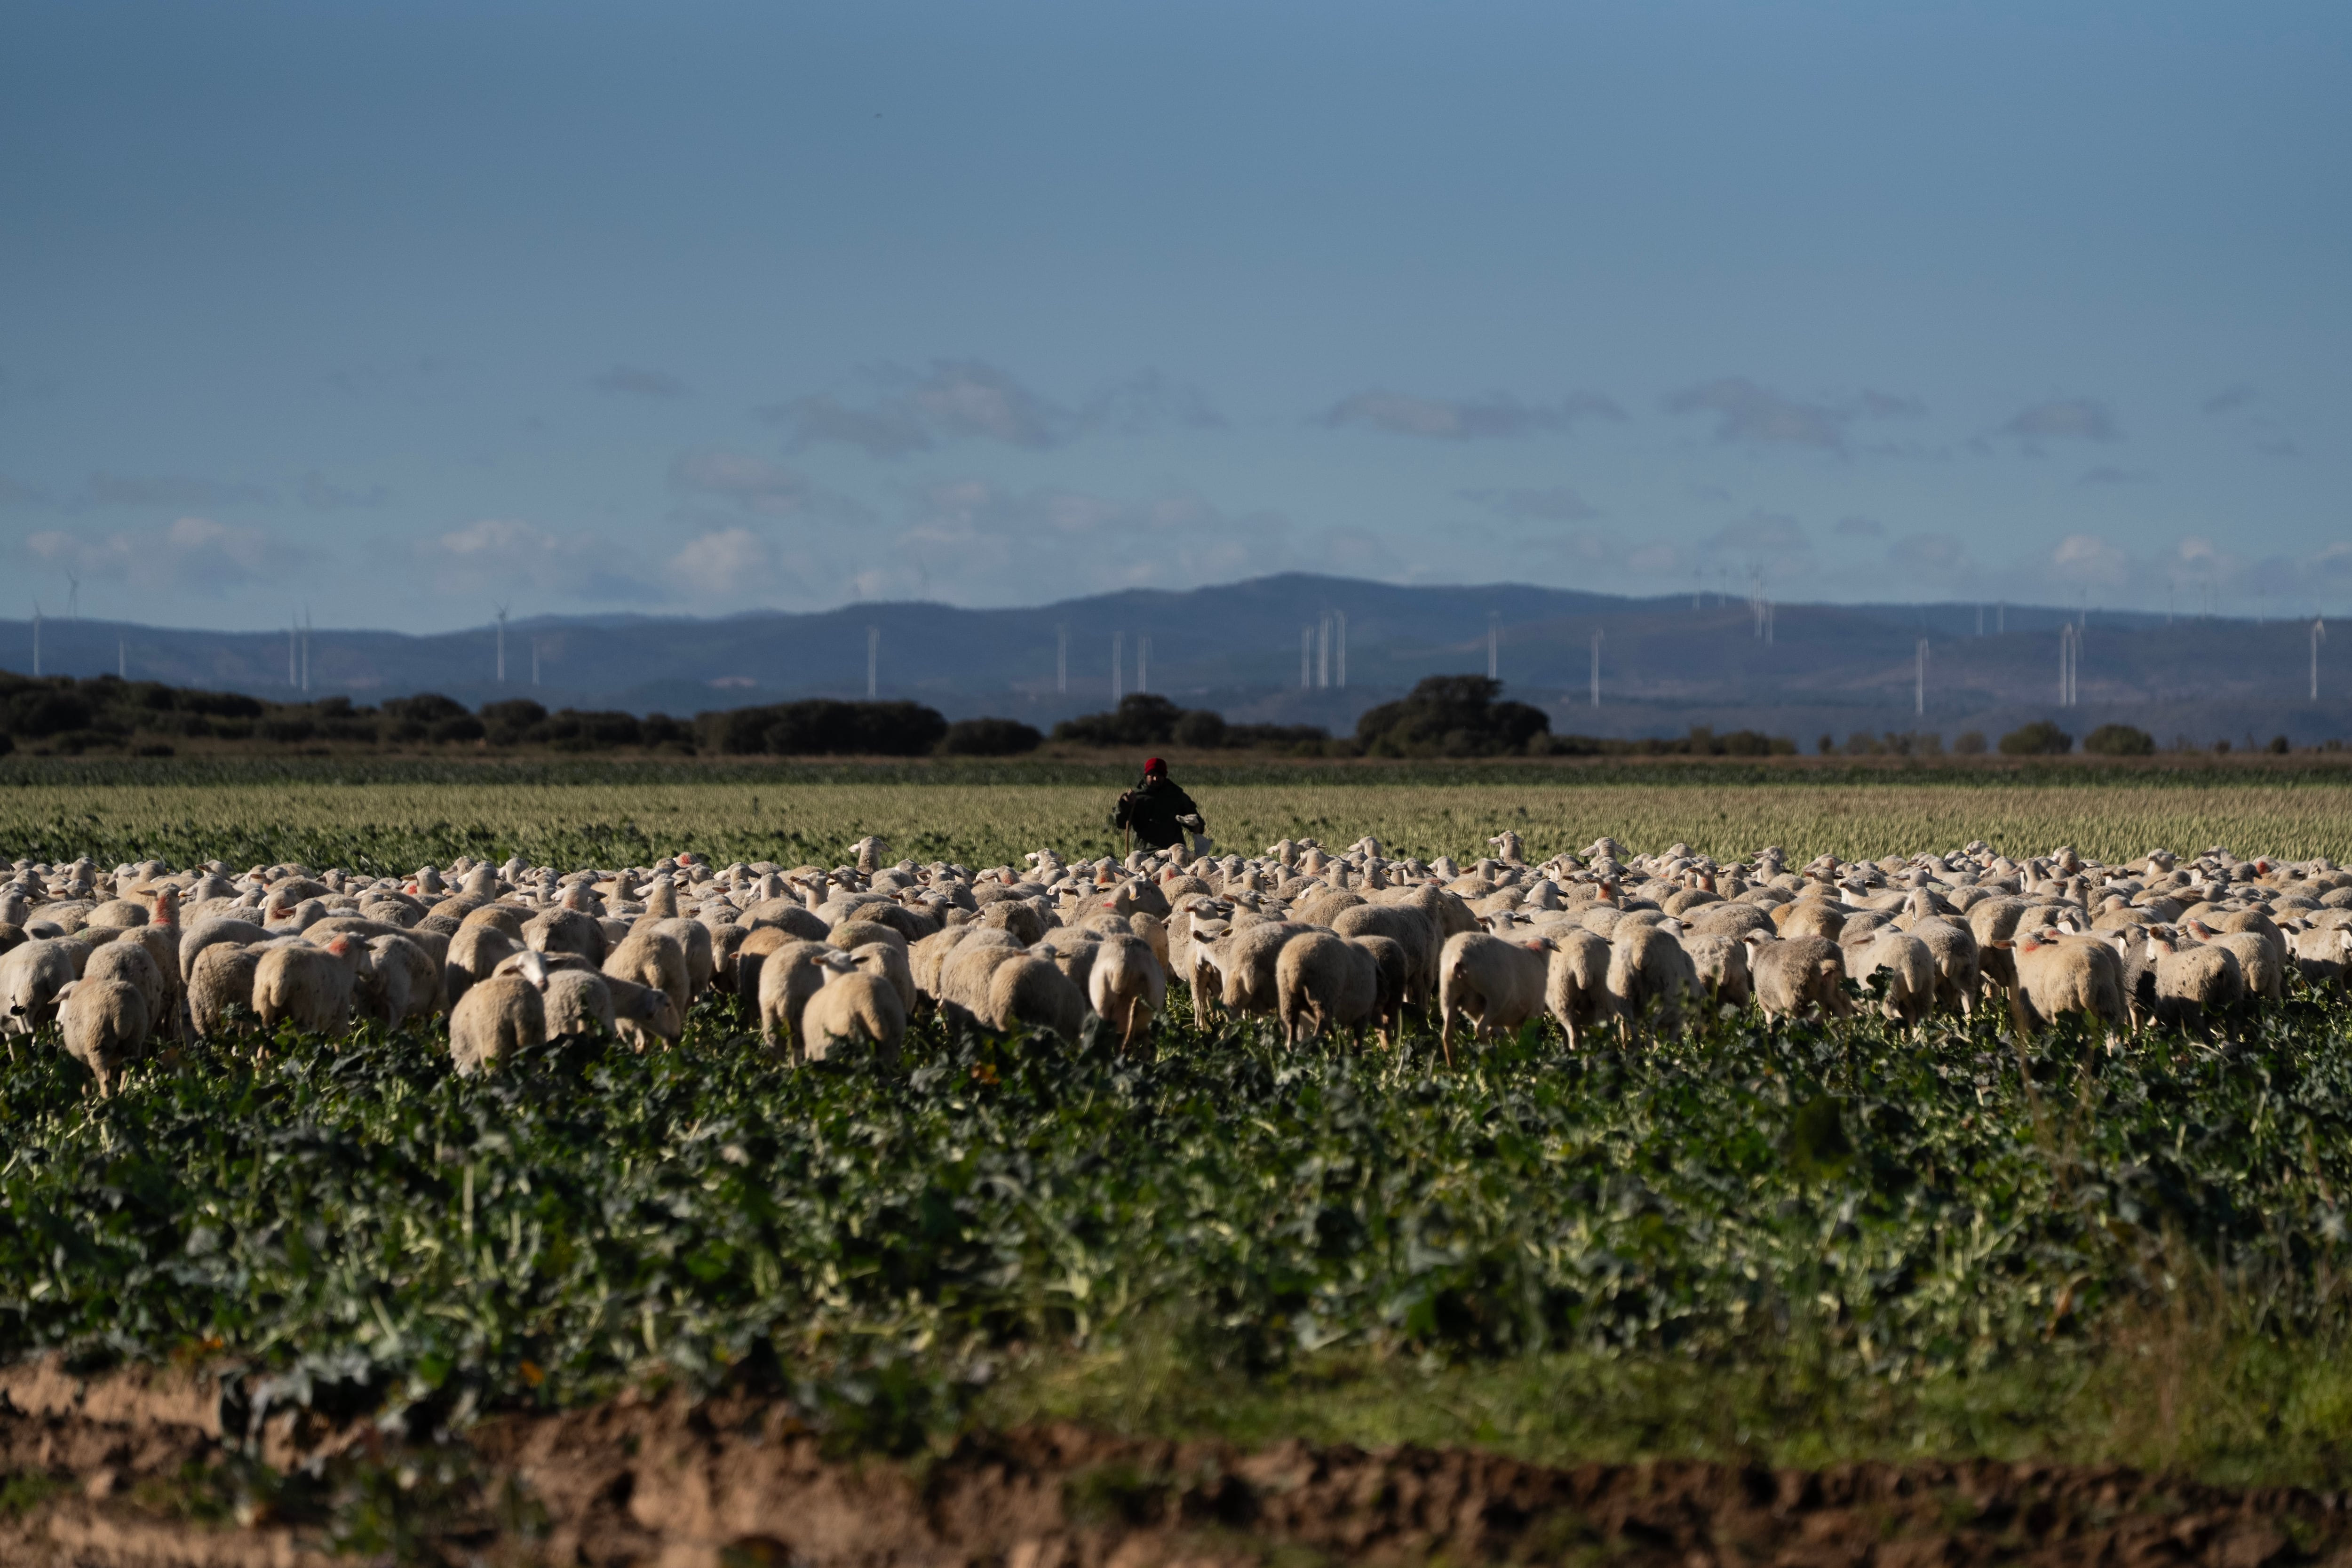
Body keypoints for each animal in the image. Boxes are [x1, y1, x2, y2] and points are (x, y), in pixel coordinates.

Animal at [56, 978, 149, 1096]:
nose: (57, 1021)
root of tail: (122, 1011)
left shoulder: (82, 1055)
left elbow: (86, 1081)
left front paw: (87, 1098)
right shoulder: (114, 1059)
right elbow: (111, 1074)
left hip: (98, 1045)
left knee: (105, 1082)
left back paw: (106, 1099)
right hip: (134, 1042)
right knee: (126, 1075)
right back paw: (122, 1095)